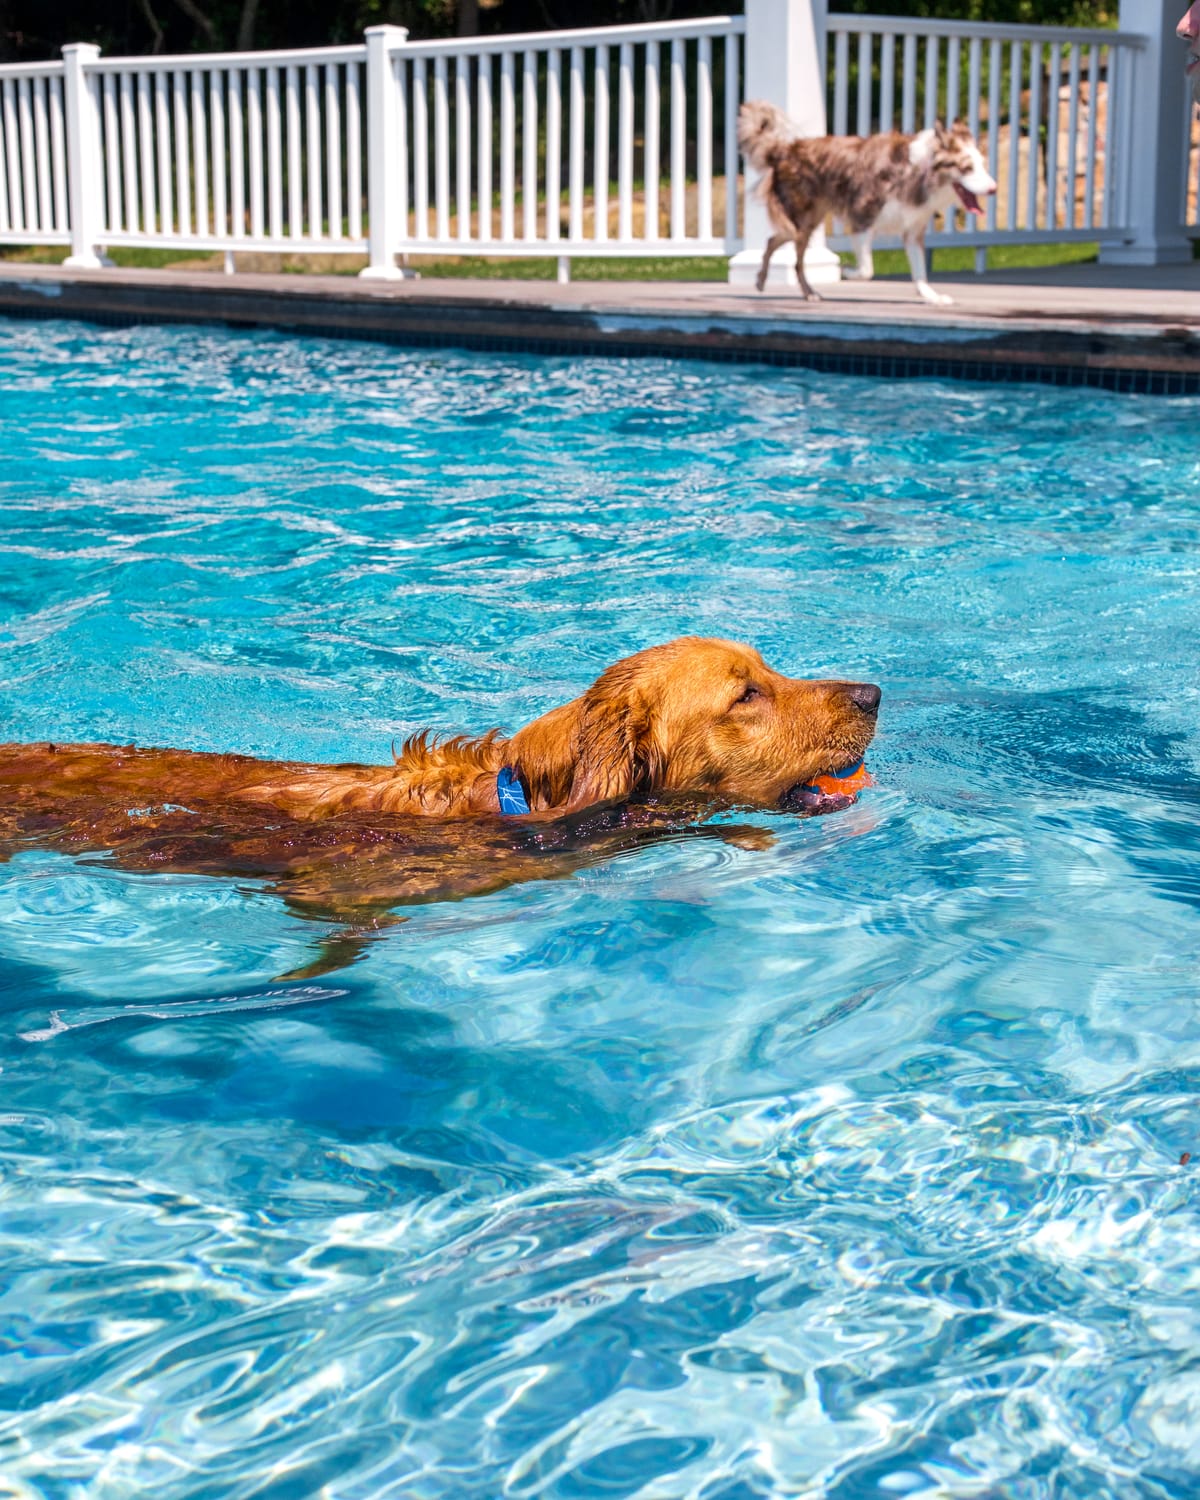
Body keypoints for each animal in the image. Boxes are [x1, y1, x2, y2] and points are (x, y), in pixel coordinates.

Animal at [735, 101, 996, 306]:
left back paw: (795, 289)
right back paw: (770, 282)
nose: (994, 188)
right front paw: (846, 271)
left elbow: (920, 272)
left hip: (808, 222)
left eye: (982, 165)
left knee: (781, 247)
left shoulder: (912, 231)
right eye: (966, 168)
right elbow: (866, 270)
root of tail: (785, 149)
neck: (917, 172)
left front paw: (932, 297)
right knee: (779, 245)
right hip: (801, 220)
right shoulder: (862, 218)